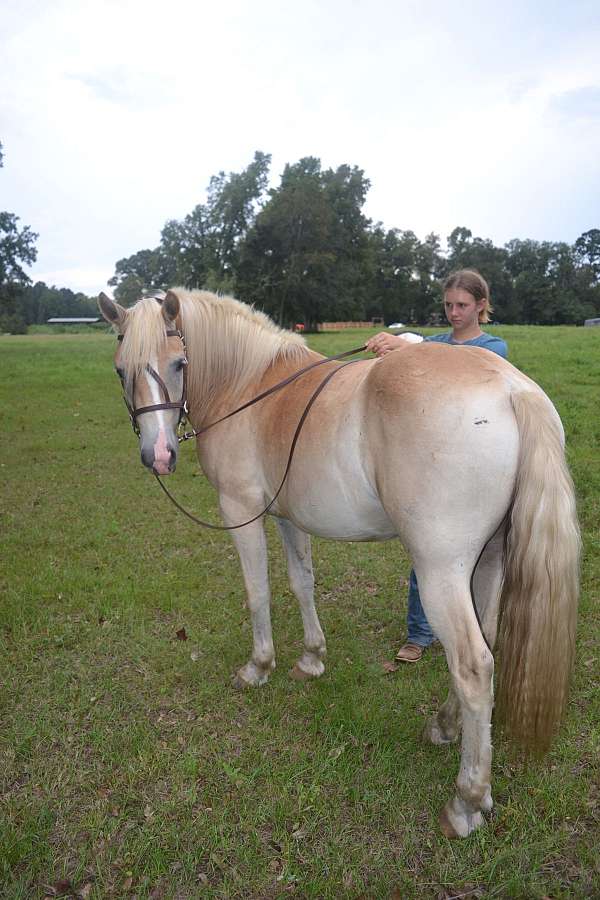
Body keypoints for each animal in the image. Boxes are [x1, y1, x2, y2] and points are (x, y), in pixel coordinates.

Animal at [98, 286, 580, 836]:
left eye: (179, 363)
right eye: (120, 369)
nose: (158, 455)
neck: (251, 387)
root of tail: (511, 388)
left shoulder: (240, 511)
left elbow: (257, 590)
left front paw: (258, 666)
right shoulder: (285, 516)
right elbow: (301, 582)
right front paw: (311, 658)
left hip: (441, 571)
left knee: (474, 665)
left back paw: (467, 801)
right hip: (488, 560)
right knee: (488, 640)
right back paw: (444, 726)